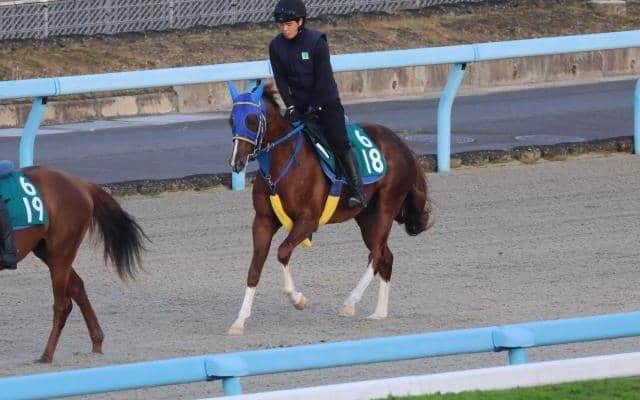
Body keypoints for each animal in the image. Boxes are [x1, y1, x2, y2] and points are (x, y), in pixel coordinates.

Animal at [0, 163, 147, 363]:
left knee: (62, 305)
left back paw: (47, 355)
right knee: (77, 287)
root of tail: (81, 183)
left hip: (61, 253)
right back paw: (96, 342)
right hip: (48, 253)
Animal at [225, 81, 433, 335]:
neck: (283, 163)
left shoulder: (308, 220)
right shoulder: (263, 221)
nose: (236, 162)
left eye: (252, 120)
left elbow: (283, 252)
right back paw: (379, 313)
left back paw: (351, 302)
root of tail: (402, 145)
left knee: (376, 255)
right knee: (385, 256)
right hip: (367, 216)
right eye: (231, 120)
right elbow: (254, 268)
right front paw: (239, 322)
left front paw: (298, 299)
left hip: (386, 206)